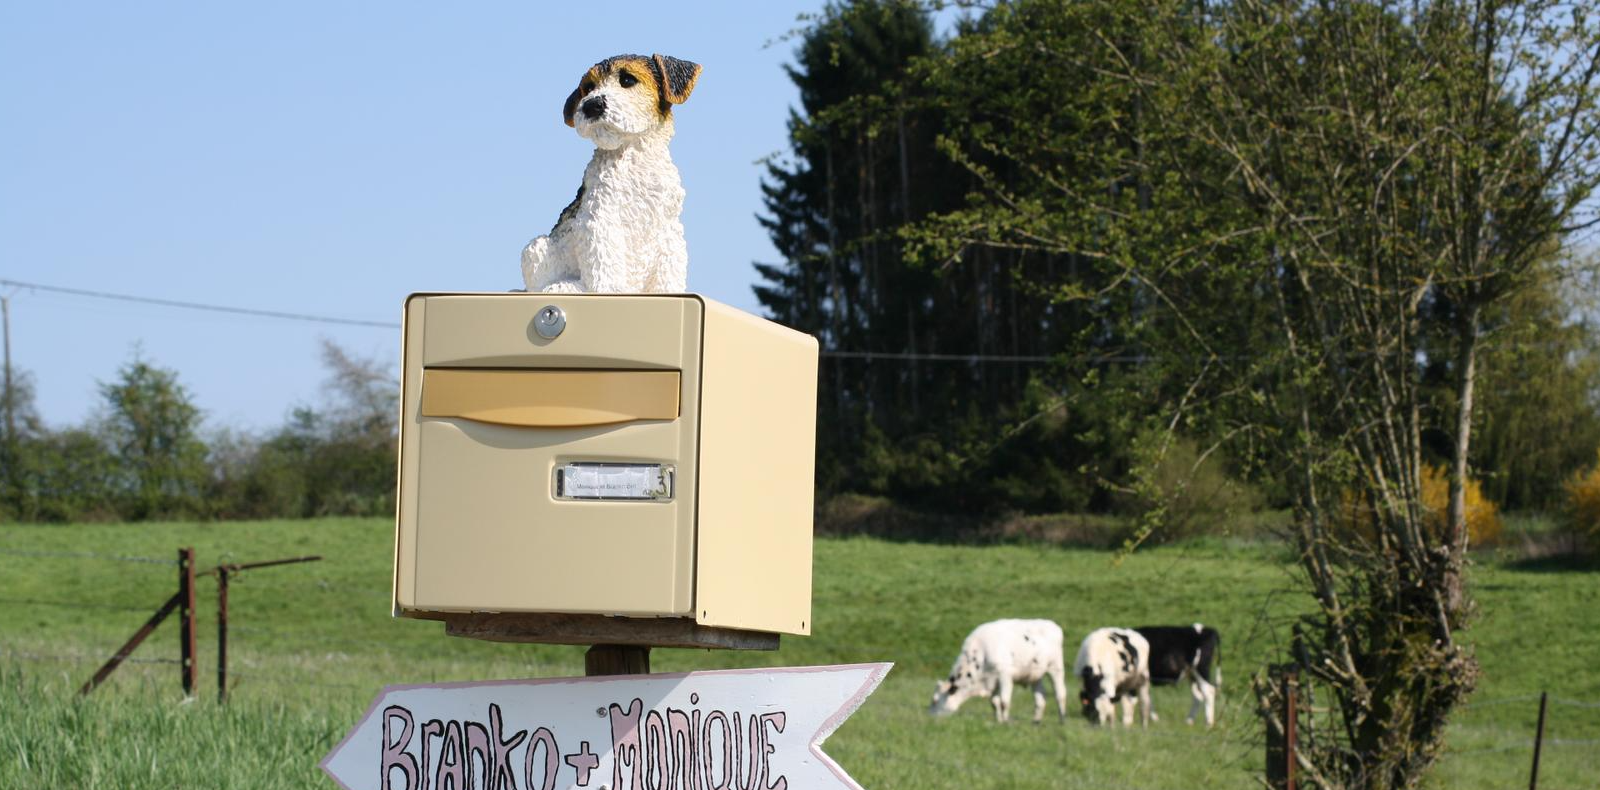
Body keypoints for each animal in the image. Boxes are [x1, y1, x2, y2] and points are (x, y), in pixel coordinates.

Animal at [934, 620, 1068, 726]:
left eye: (935, 700)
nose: (931, 718)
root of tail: (1053, 625)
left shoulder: (1005, 675)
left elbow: (1004, 701)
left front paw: (1005, 722)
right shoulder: (993, 680)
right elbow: (994, 702)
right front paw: (998, 721)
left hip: (1056, 668)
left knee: (1060, 694)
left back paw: (1062, 720)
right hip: (1035, 675)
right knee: (1040, 698)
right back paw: (1036, 721)